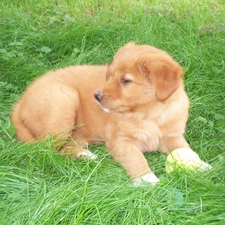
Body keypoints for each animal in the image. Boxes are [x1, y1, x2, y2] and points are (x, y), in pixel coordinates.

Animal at [11, 42, 211, 185]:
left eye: (126, 80)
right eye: (110, 75)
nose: (96, 96)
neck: (149, 114)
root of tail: (19, 103)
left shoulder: (172, 135)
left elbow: (184, 148)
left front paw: (200, 164)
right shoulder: (120, 141)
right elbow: (136, 157)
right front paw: (147, 179)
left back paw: (85, 154)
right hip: (63, 103)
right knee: (48, 150)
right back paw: (85, 156)